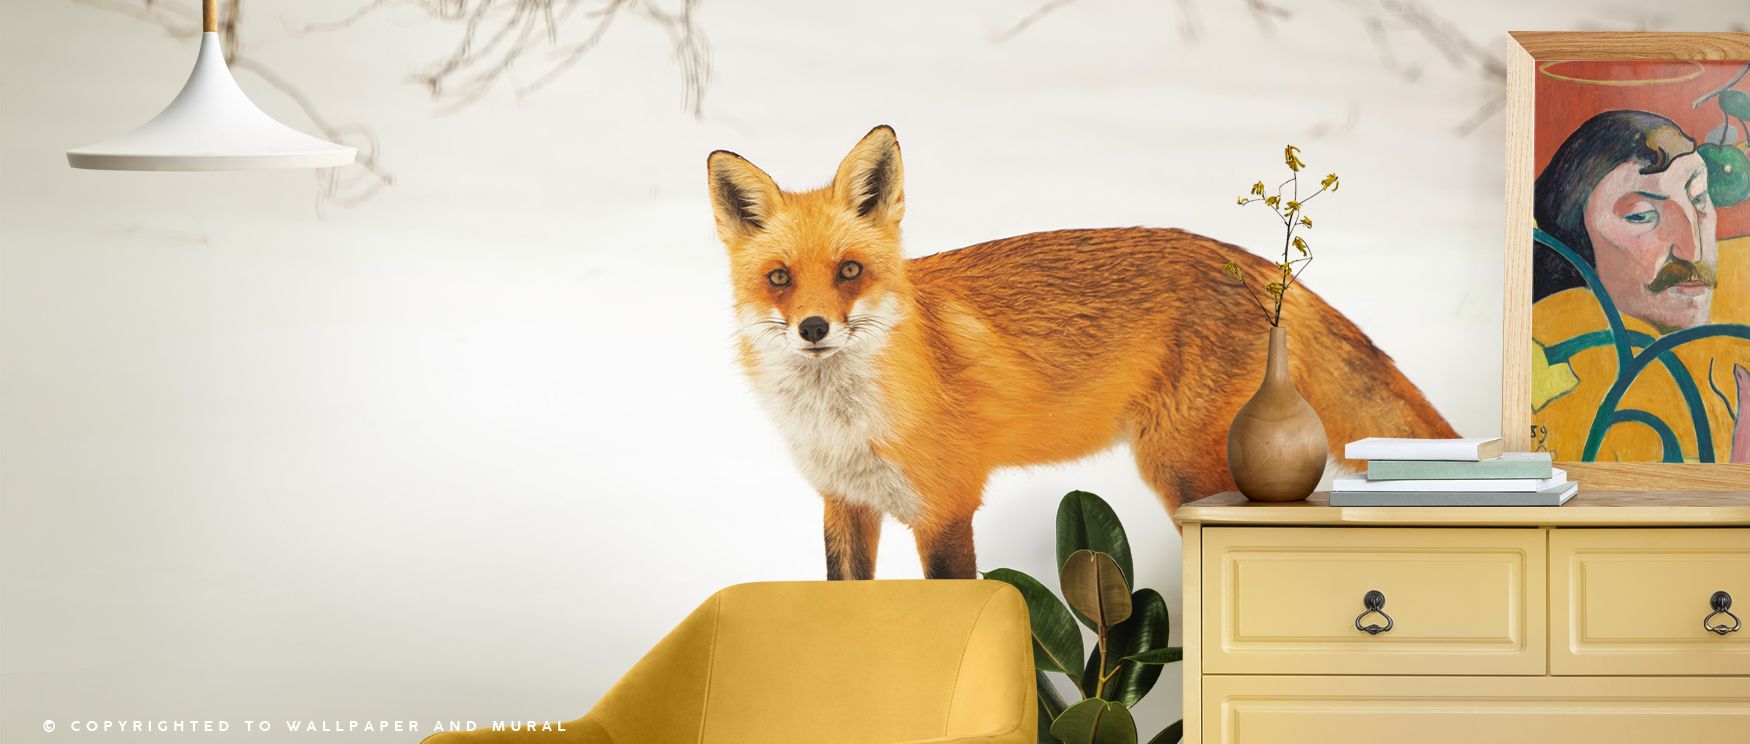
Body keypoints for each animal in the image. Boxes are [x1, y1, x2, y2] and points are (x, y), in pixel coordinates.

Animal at [707, 125, 1457, 580]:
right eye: (780, 279)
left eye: (849, 272)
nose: (813, 328)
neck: (844, 423)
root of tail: (1255, 265)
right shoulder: (845, 505)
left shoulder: (946, 509)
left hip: (1181, 469)